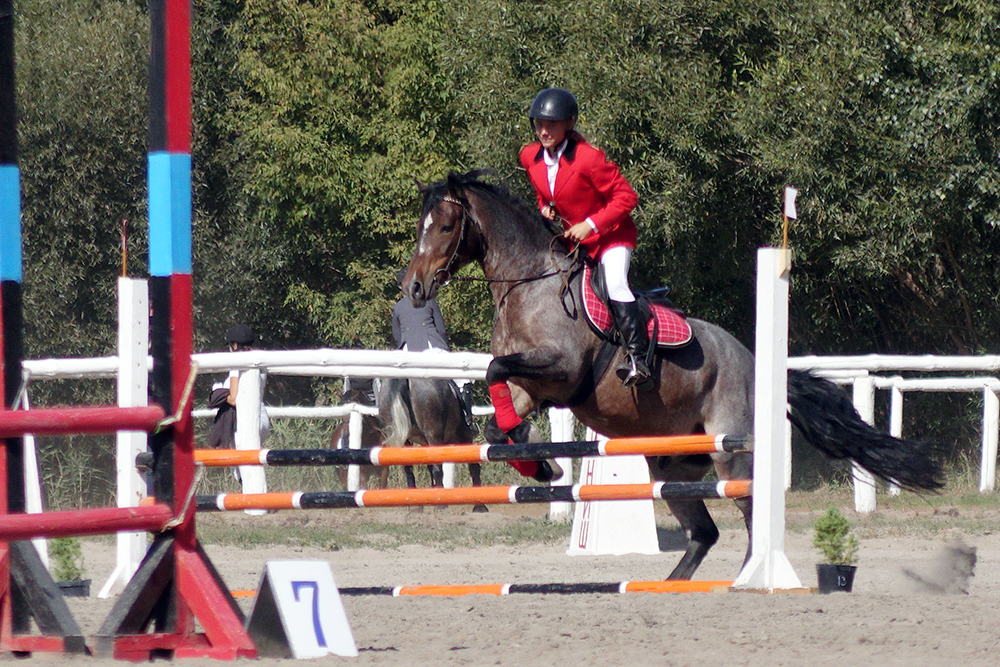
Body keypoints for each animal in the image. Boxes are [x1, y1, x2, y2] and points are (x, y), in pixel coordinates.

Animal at [377, 376, 488, 512]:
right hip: (434, 434)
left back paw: (415, 505)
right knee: (438, 469)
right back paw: (440, 505)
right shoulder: (462, 438)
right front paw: (480, 506)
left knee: (409, 469)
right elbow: (473, 466)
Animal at [400, 169, 944, 580]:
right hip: (672, 465)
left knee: (750, 514)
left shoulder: (562, 371)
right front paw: (540, 466)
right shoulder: (528, 387)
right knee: (704, 532)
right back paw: (672, 585)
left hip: (730, 455)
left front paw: (540, 462)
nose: (415, 288)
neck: (530, 284)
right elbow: (498, 416)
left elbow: (496, 370)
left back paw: (746, 578)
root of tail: (752, 361)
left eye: (444, 227)